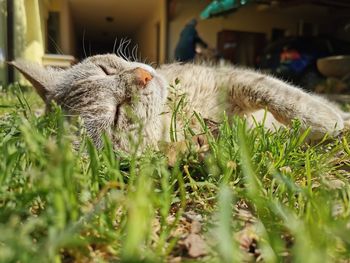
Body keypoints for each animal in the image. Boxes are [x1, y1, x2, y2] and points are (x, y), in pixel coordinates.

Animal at [9, 54, 348, 152]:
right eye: (117, 114)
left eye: (107, 69)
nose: (144, 76)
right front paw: (330, 122)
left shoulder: (233, 77)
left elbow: (281, 94)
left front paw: (325, 117)